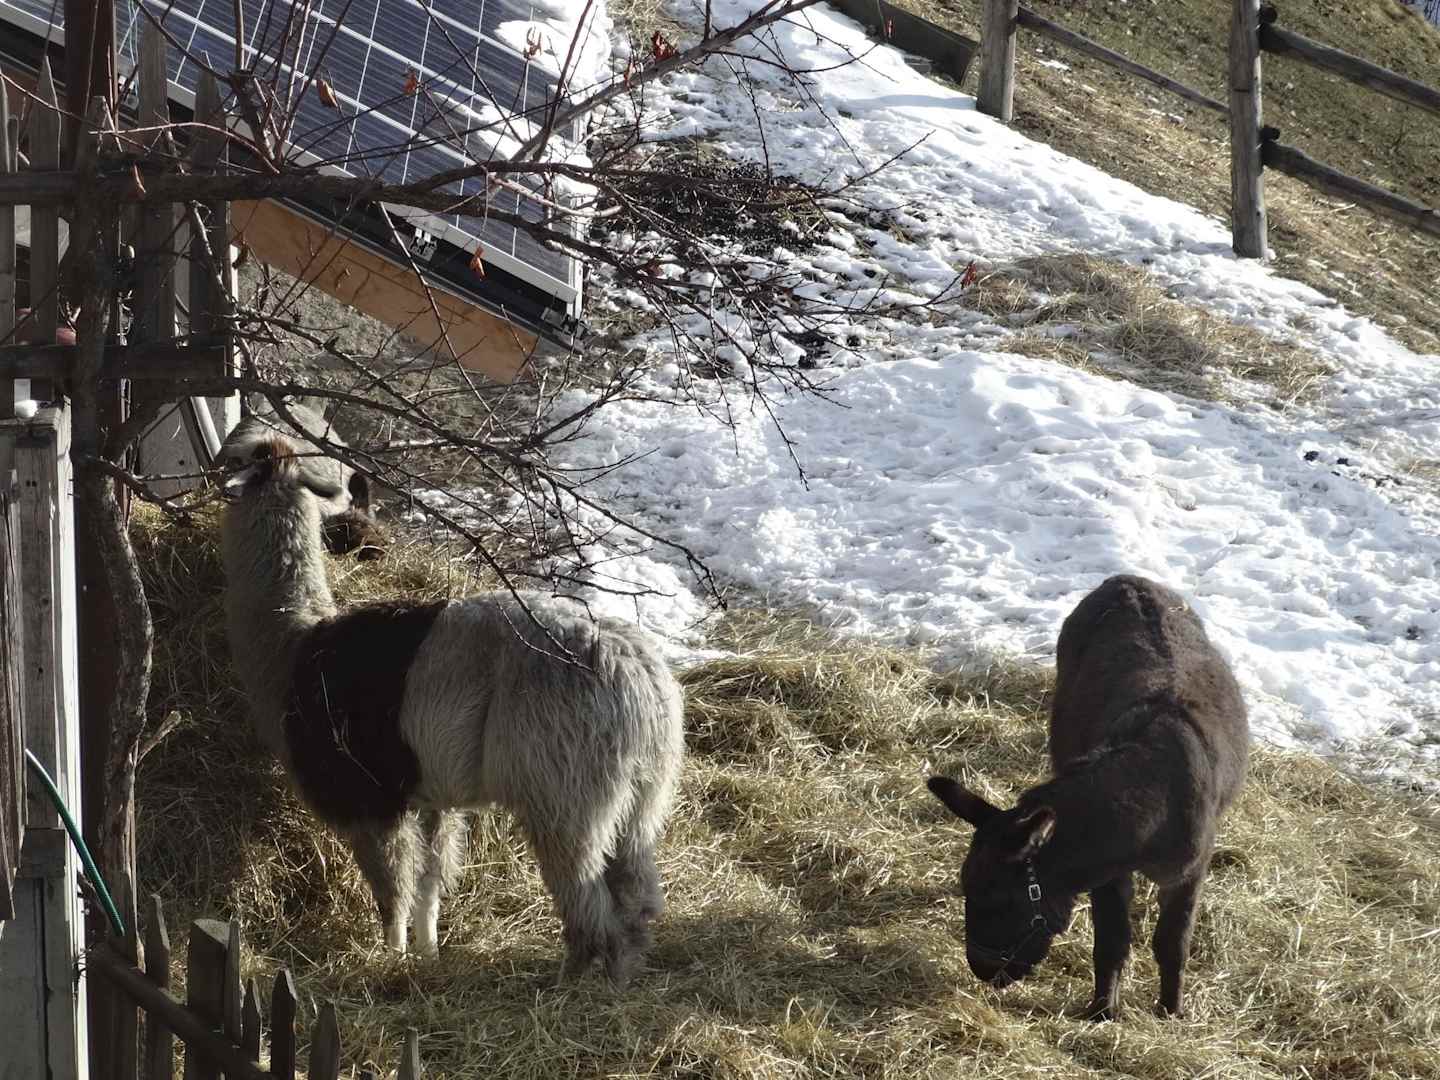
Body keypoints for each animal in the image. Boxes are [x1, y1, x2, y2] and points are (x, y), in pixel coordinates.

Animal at [218, 433, 685, 983]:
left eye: (237, 458)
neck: (292, 650)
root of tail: (641, 677)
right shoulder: (430, 796)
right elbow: (430, 882)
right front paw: (428, 953)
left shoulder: (372, 798)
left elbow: (393, 889)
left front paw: (392, 957)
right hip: (641, 795)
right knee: (636, 891)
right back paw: (621, 976)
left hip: (565, 790)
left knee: (587, 896)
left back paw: (570, 980)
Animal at [928, 574, 1248, 1020]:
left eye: (999, 900)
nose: (983, 970)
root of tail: (1127, 580)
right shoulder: (1107, 874)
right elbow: (1111, 942)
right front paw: (1103, 1011)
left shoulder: (1188, 873)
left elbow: (1172, 944)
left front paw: (1170, 1010)